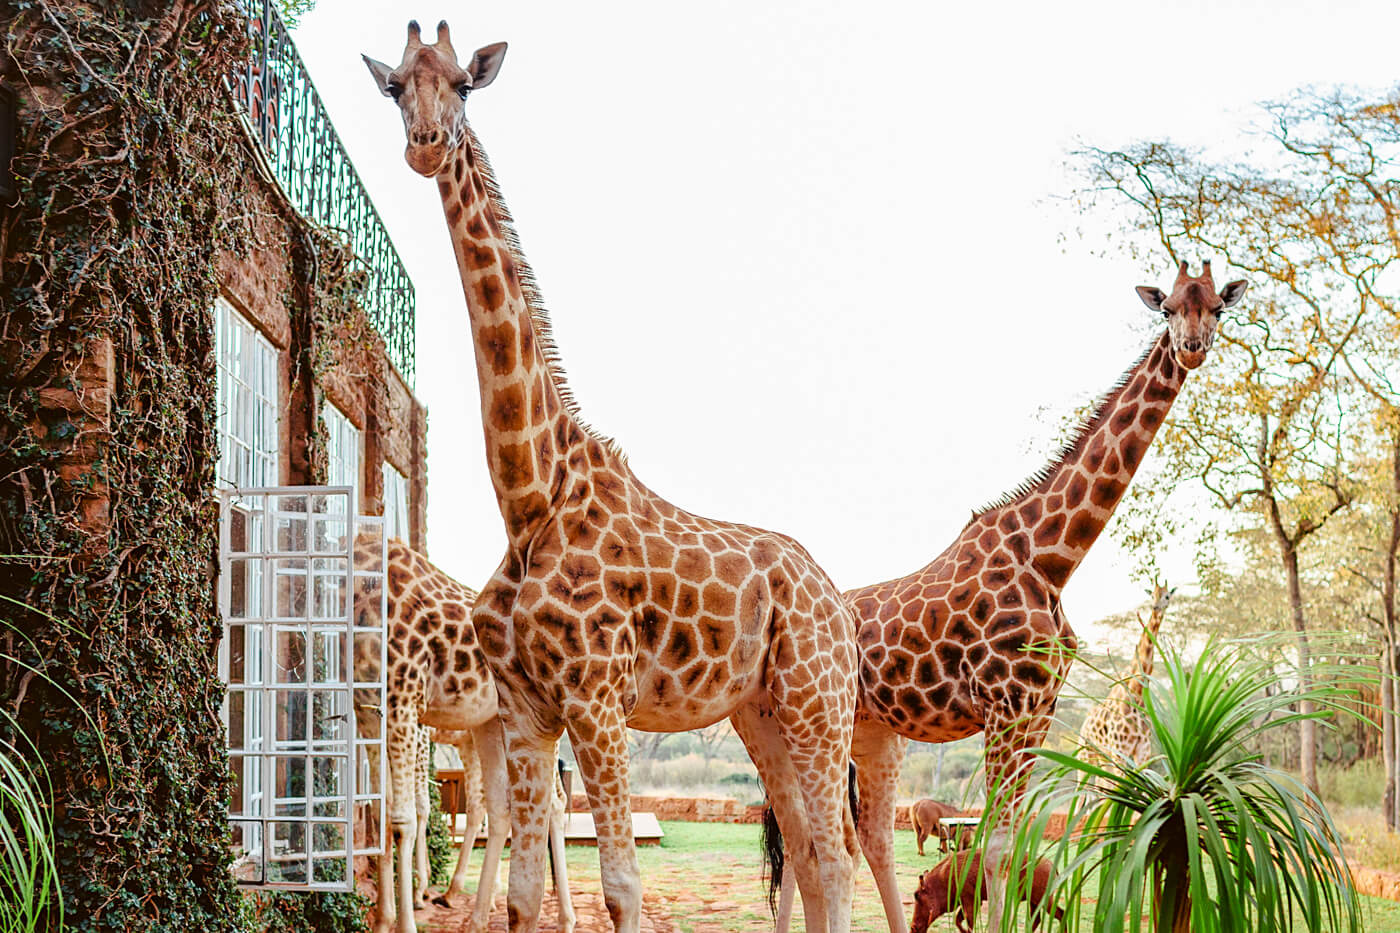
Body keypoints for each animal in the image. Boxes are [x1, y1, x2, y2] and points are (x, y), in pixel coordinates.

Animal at [358, 21, 862, 930]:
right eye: (395, 87)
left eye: (463, 84)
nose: (425, 143)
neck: (530, 498)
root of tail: (838, 602)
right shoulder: (525, 710)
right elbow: (523, 891)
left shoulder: (597, 698)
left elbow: (624, 887)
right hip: (759, 712)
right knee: (808, 854)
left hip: (818, 704)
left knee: (834, 859)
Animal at [1075, 582, 1176, 767]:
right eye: (1152, 595)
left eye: (1167, 596)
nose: (1156, 607)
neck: (1136, 692)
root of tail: (1083, 725)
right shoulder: (1120, 750)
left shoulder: (1143, 750)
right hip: (1086, 756)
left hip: (1104, 760)